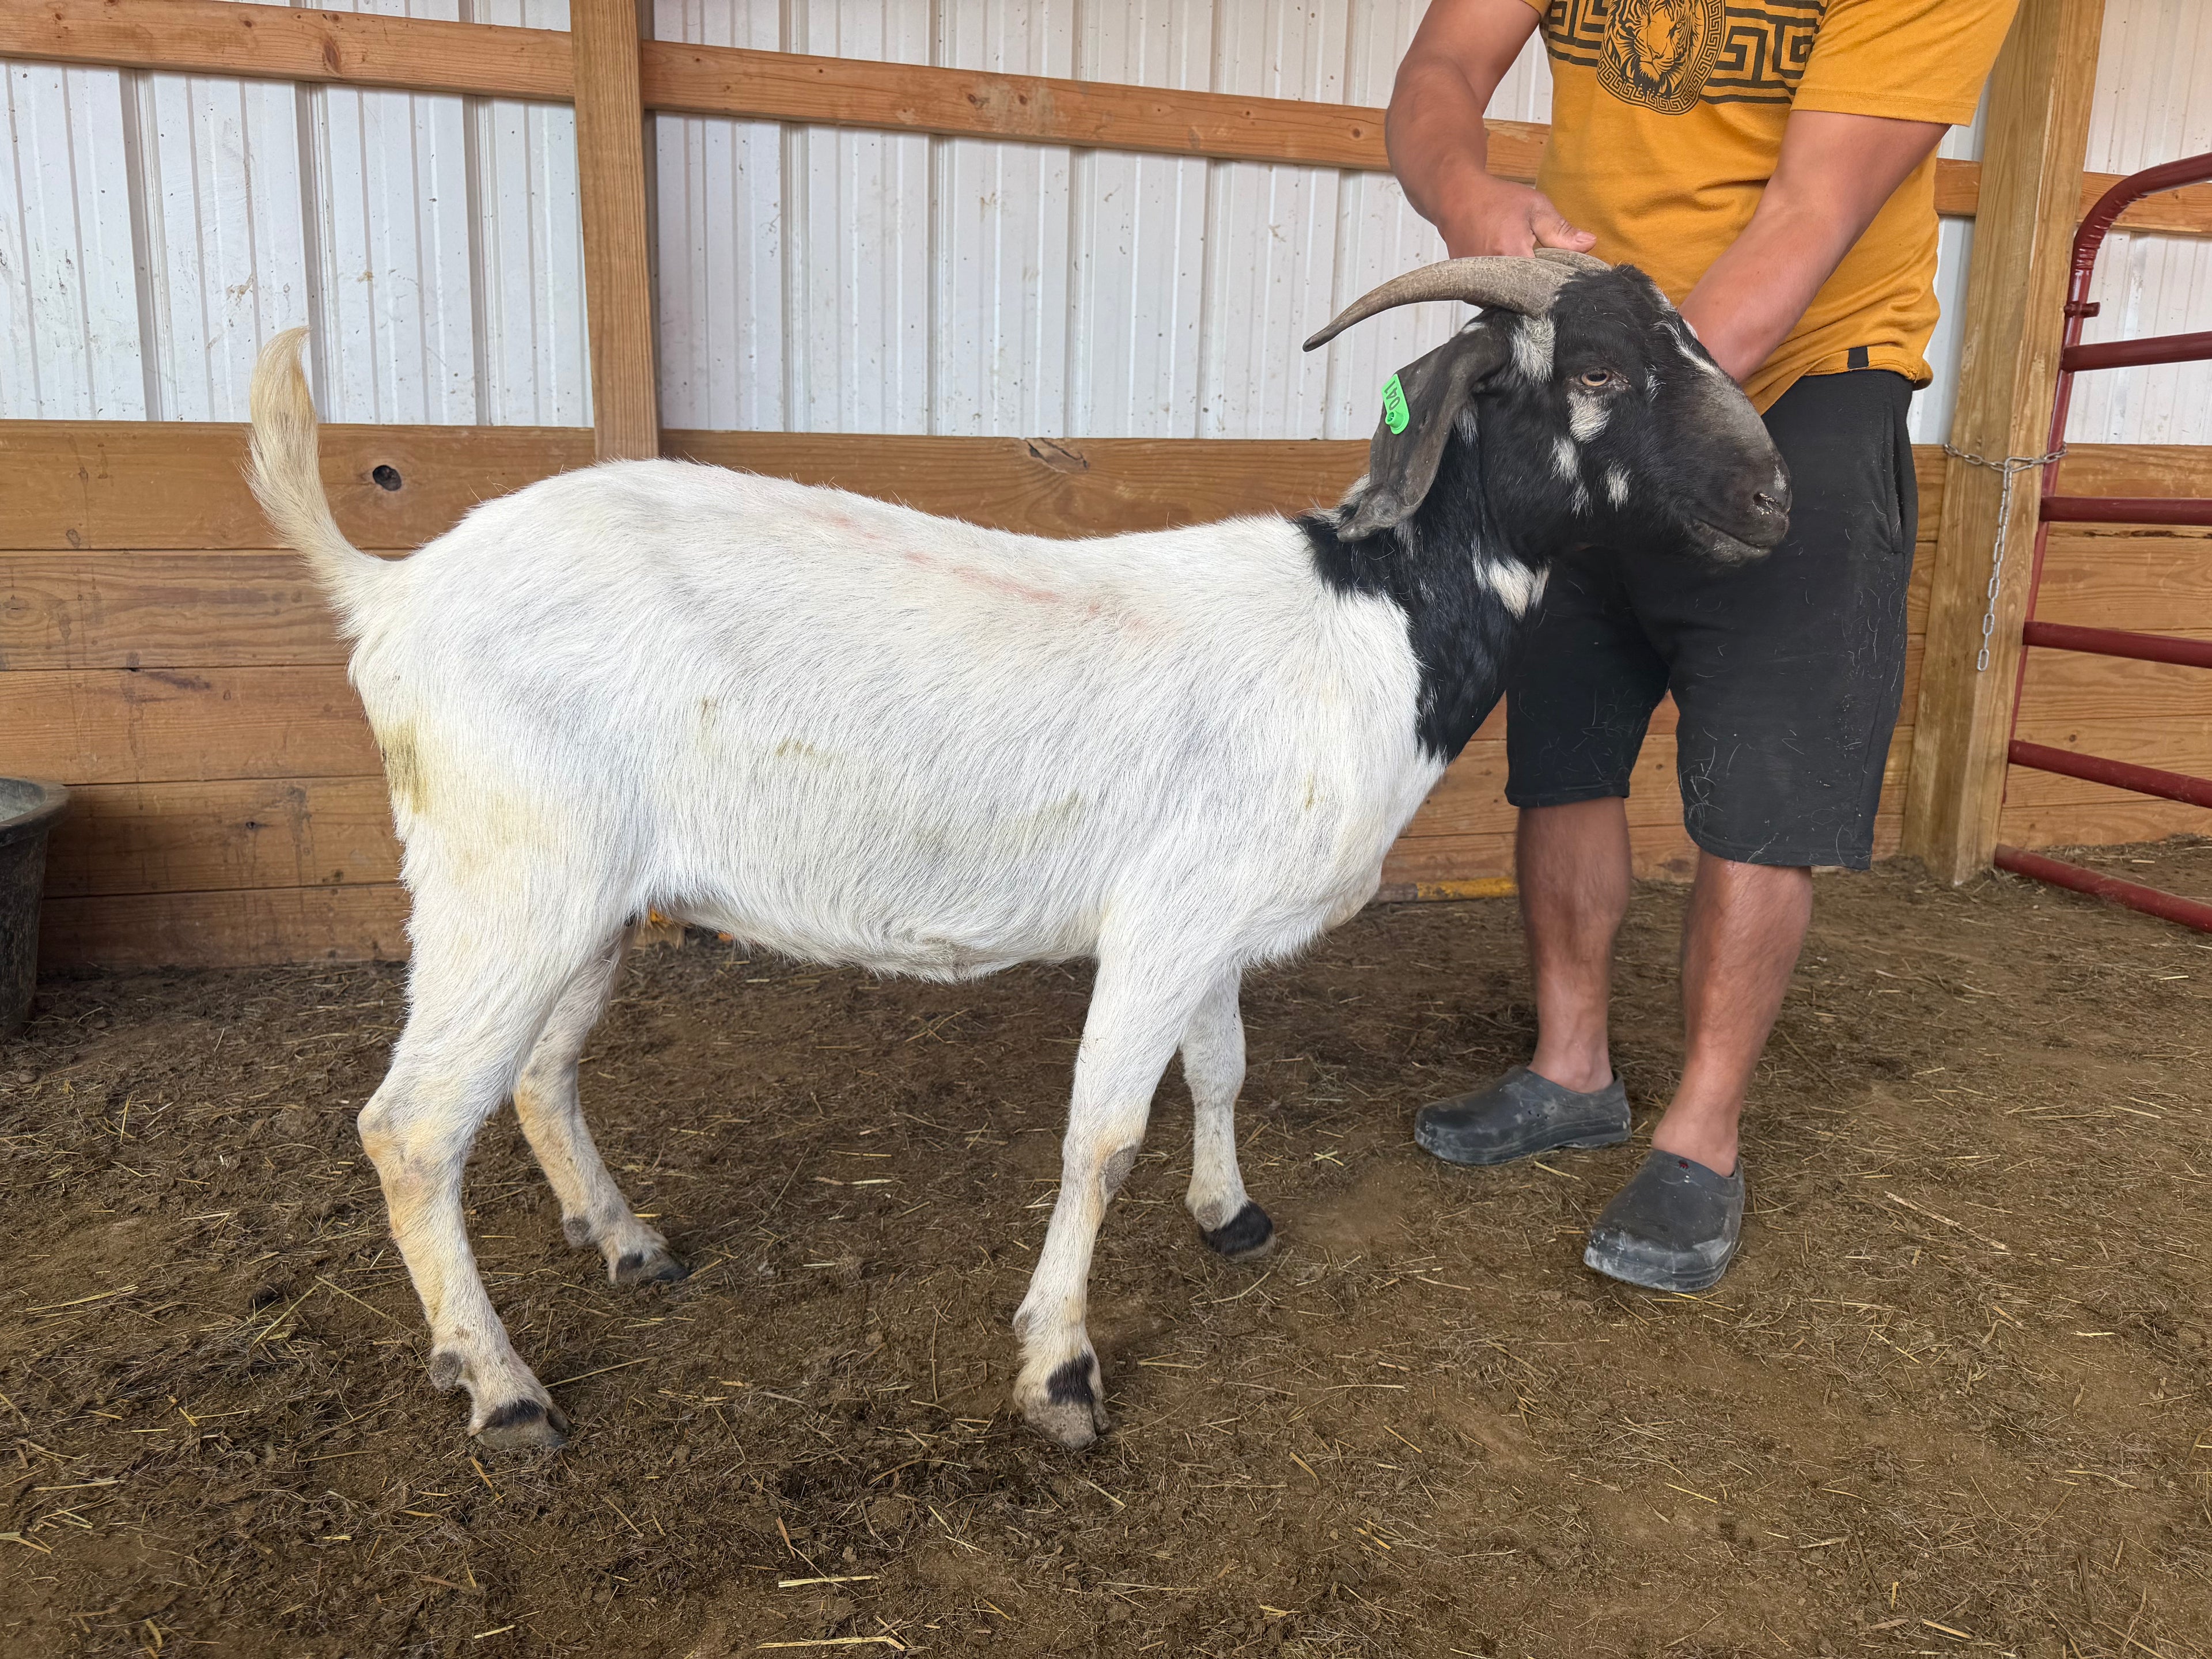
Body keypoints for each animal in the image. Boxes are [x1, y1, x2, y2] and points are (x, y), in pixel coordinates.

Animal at [247, 252, 1789, 1453]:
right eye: (1595, 371)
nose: (1774, 500)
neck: (1368, 617)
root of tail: (392, 590)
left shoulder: (1207, 914)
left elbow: (1219, 1069)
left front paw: (1230, 1215)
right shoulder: (1164, 921)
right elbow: (1102, 1134)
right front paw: (1058, 1370)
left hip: (587, 895)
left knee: (538, 1074)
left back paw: (624, 1243)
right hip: (507, 871)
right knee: (409, 1126)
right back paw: (503, 1391)